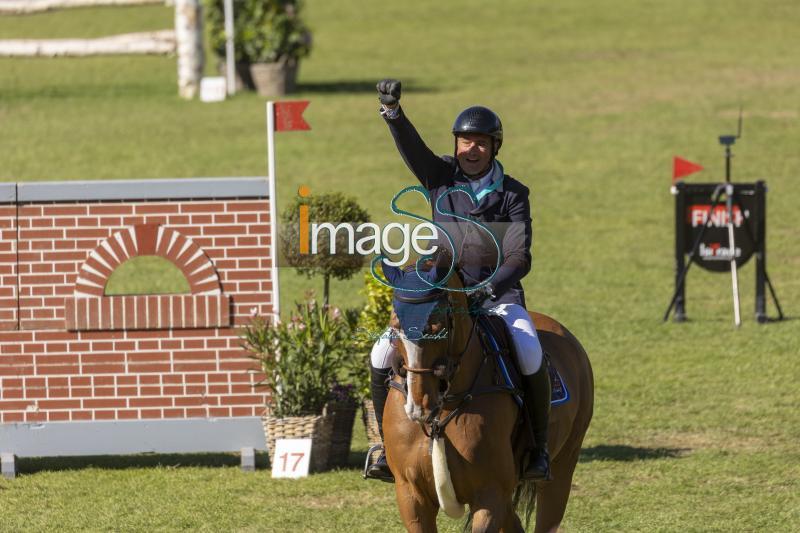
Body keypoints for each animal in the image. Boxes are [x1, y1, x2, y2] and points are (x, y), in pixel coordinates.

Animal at [382, 272, 592, 528]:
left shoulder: (490, 493)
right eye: (396, 328)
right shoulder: (411, 495)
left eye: (437, 328)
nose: (418, 407)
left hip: (562, 467)